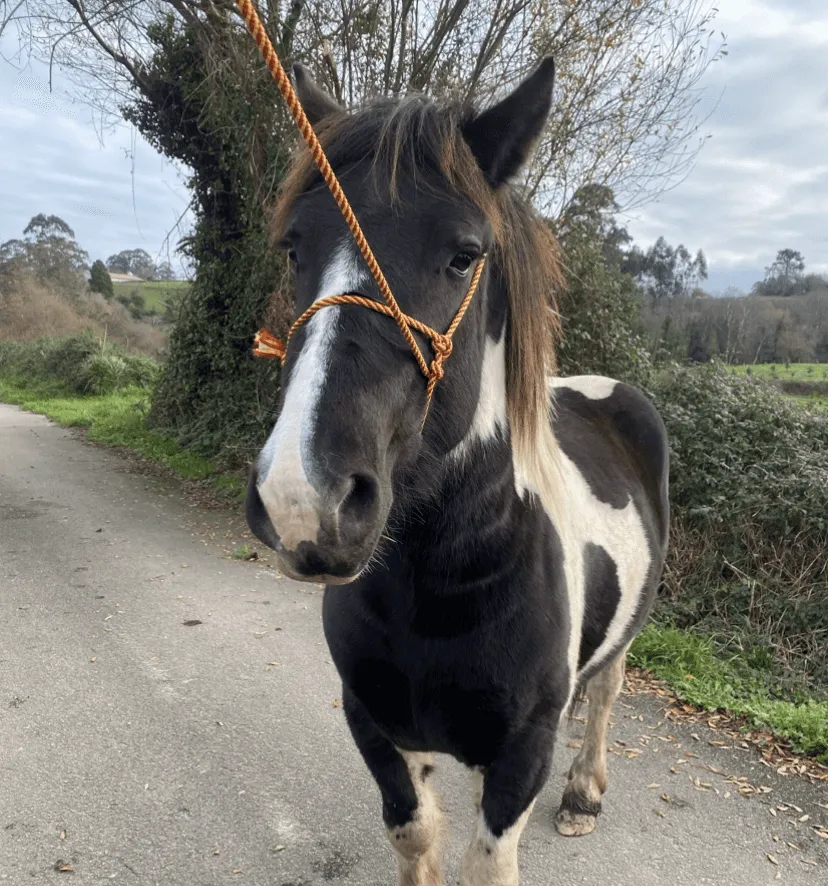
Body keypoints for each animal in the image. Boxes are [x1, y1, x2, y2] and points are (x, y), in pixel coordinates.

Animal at [246, 57, 669, 886]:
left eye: (463, 254)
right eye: (294, 248)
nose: (303, 502)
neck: (439, 580)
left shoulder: (524, 751)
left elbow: (488, 859)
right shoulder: (373, 722)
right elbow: (414, 832)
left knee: (606, 692)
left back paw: (584, 795)